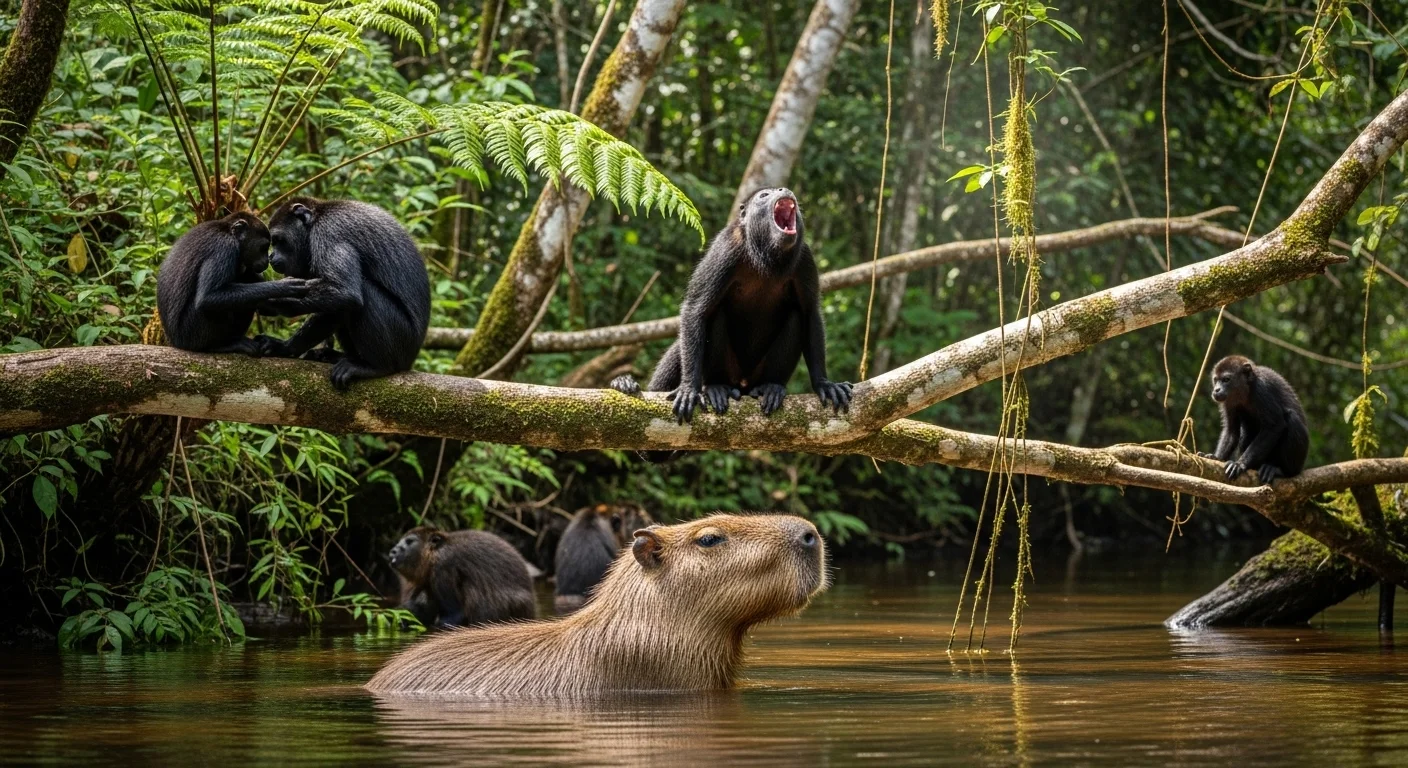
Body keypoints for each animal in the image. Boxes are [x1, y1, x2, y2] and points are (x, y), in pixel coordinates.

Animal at [155, 211, 313, 354]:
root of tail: (175, 342)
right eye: (263, 247)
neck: (226, 230)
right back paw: (220, 346)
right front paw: (282, 287)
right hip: (192, 334)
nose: (267, 261)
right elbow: (208, 298)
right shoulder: (224, 246)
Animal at [253, 198, 430, 390]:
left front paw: (269, 299)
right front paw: (284, 347)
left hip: (403, 342)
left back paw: (375, 366)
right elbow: (334, 308)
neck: (315, 220)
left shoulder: (328, 232)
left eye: (278, 240)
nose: (271, 256)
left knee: (364, 291)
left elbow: (345, 293)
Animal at [609, 188, 852, 425]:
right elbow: (695, 310)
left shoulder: (805, 258)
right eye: (764, 196)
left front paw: (824, 383)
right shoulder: (725, 248)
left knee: (795, 317)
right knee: (709, 321)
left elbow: (810, 313)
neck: (765, 255)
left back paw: (771, 386)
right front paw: (688, 388)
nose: (784, 190)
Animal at [1200, 355, 1310, 485]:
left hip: (1297, 464)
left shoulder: (1262, 390)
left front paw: (1239, 464)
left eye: (1226, 379)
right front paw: (1216, 458)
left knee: (1292, 418)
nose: (1216, 389)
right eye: (1216, 380)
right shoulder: (1228, 402)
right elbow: (1231, 431)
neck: (1245, 391)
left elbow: (1274, 425)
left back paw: (1282, 471)